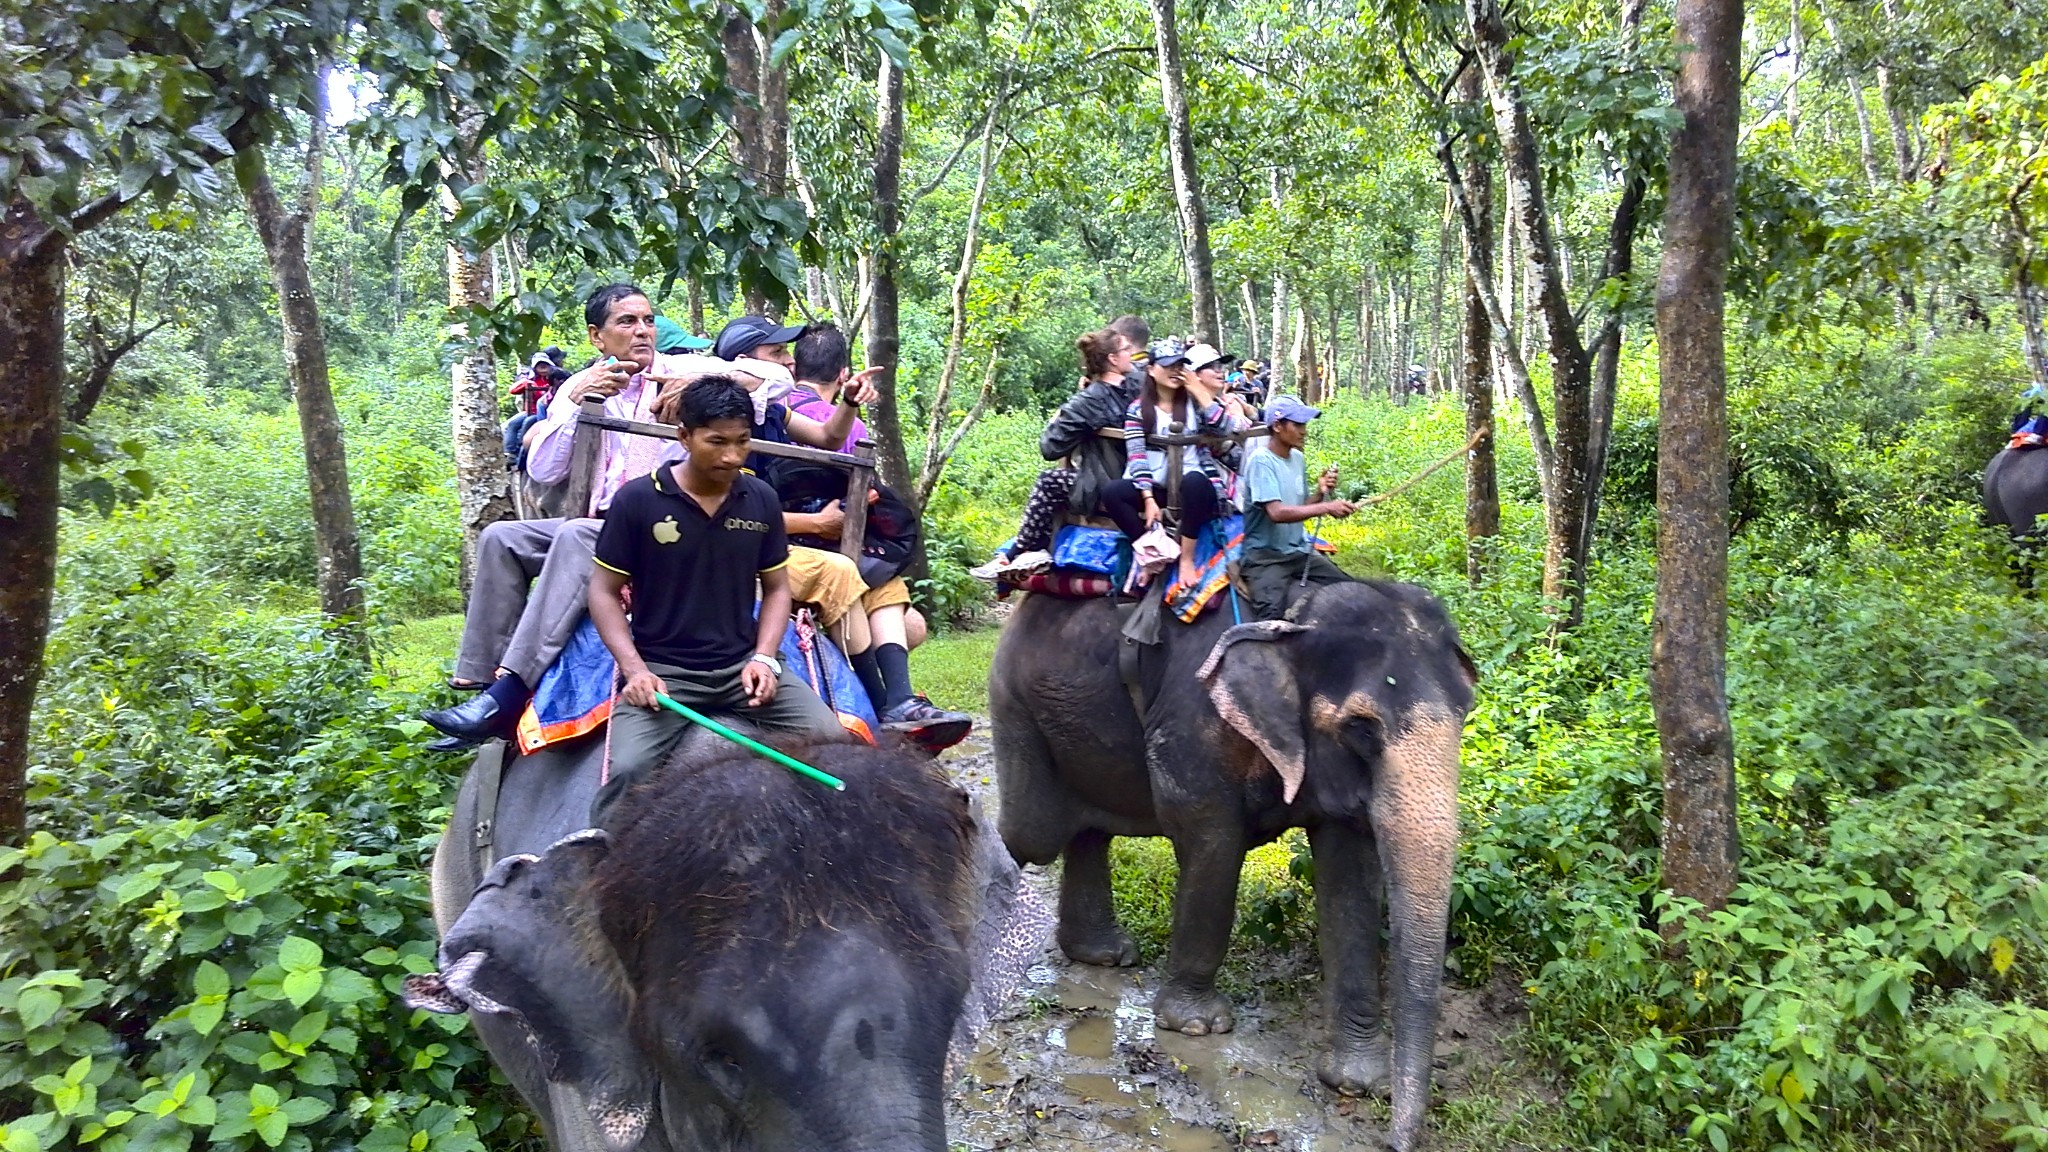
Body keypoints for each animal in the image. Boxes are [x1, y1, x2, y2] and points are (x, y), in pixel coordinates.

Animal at [987, 578, 1474, 1147]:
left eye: (1466, 712)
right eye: (1362, 727)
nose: (1394, 1141)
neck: (1294, 616)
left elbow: (1350, 876)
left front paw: (1358, 1082)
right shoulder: (1195, 719)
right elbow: (1212, 839)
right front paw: (1196, 1026)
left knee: (1090, 828)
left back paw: (1103, 955)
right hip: (1015, 701)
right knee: (1033, 832)